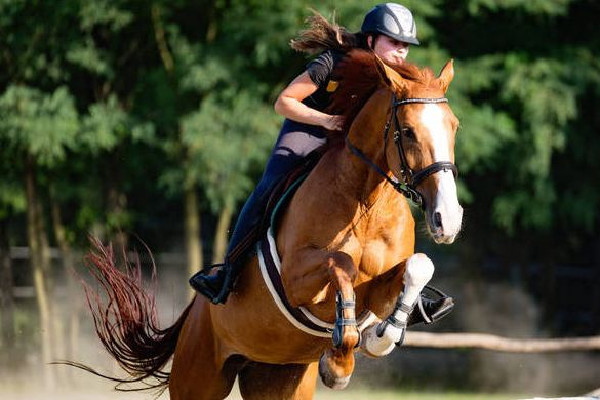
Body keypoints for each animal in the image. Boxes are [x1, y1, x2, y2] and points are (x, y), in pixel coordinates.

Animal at [81, 50, 464, 400]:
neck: (367, 204)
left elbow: (419, 266)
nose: (447, 219)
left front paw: (380, 337)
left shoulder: (378, 290)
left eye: (453, 126)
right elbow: (342, 263)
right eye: (408, 132)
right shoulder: (296, 278)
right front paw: (339, 364)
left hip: (276, 377)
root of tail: (193, 314)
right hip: (198, 377)